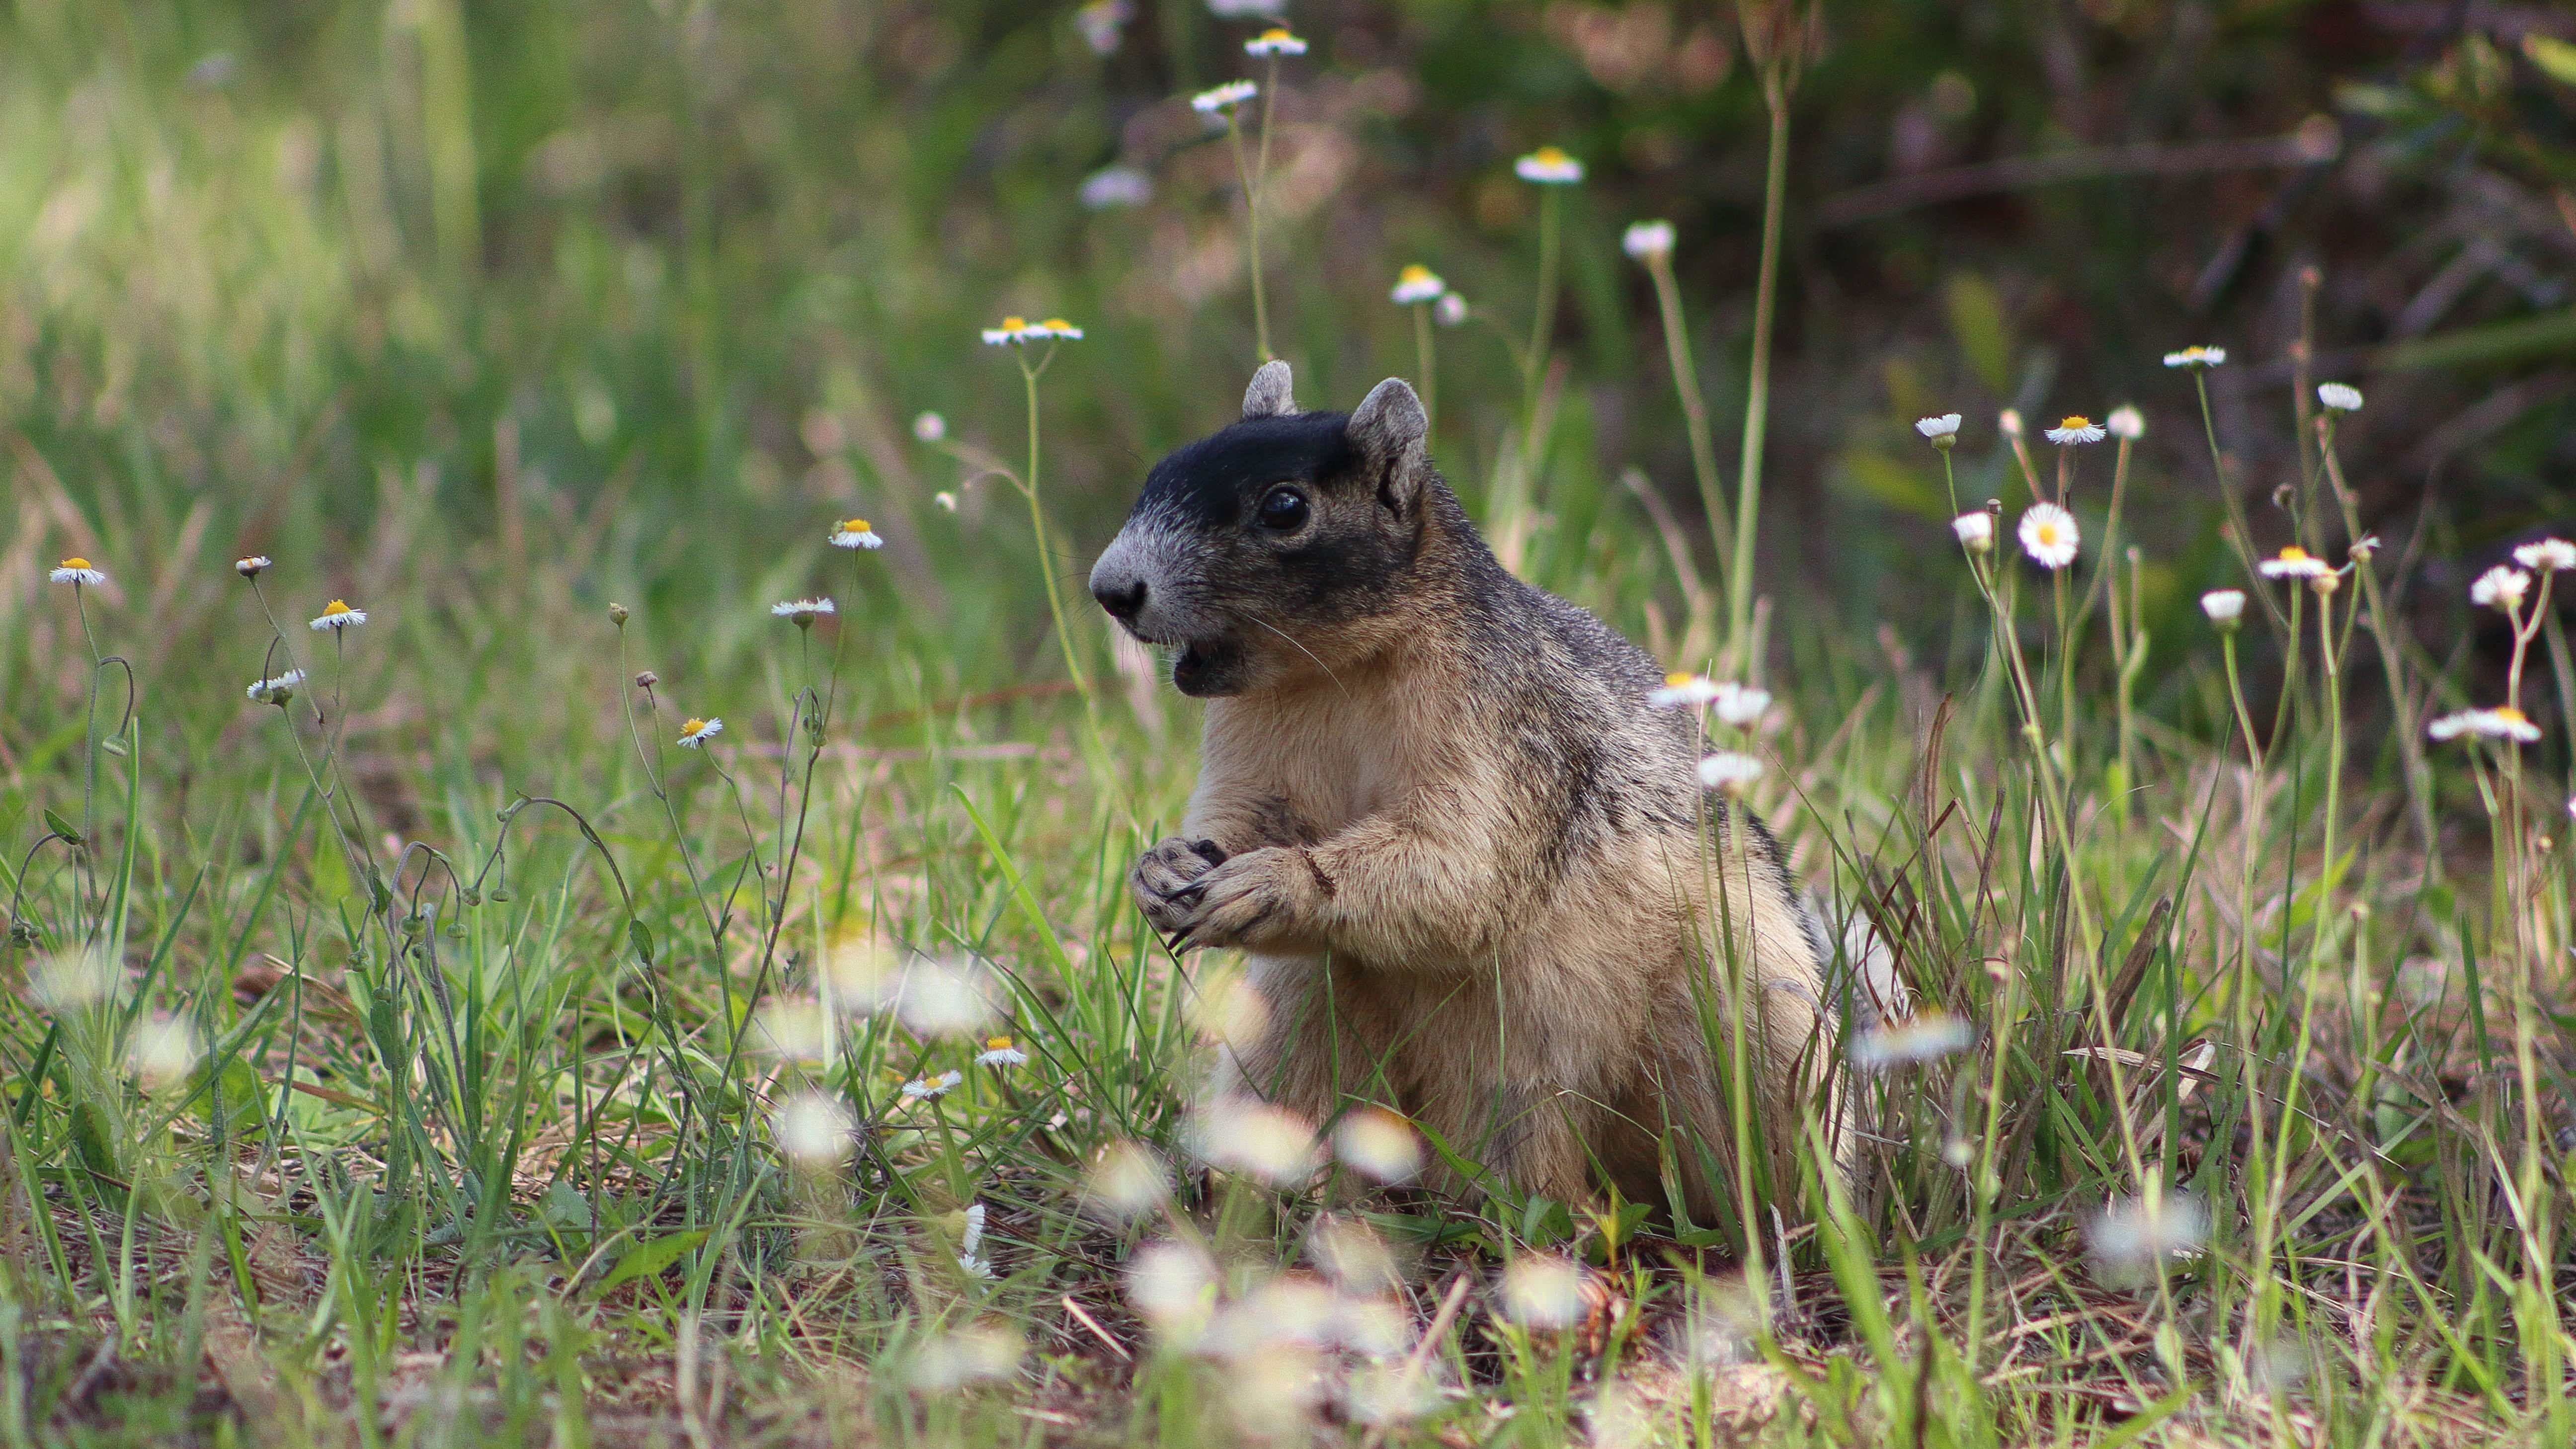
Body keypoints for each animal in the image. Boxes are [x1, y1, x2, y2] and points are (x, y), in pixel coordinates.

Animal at [1088, 362, 1887, 1218]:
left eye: (1285, 507)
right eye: (1158, 472)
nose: (1111, 589)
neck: (1334, 674)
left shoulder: (1497, 731)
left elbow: (1459, 862)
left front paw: (1274, 881)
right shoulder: (1253, 744)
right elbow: (1242, 815)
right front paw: (1162, 868)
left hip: (1748, 1015)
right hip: (1294, 1018)